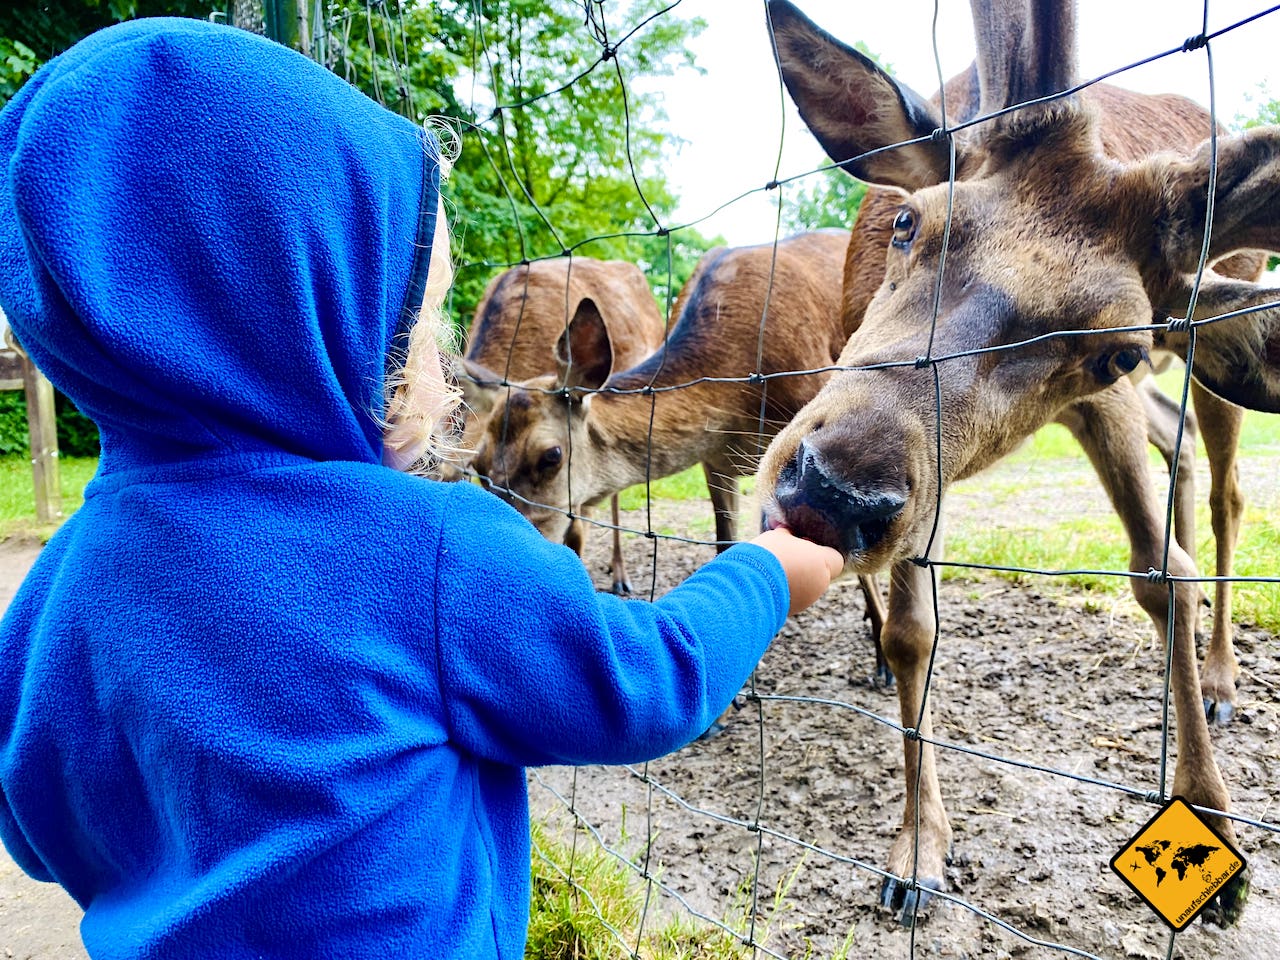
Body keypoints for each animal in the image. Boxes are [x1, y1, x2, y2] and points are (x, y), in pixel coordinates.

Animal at [752, 0, 1280, 931]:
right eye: (909, 222)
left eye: (1111, 348)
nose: (831, 487)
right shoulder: (930, 480)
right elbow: (912, 629)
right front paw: (918, 852)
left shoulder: (1108, 394)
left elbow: (1160, 575)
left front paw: (1213, 825)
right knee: (1179, 443)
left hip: (1205, 344)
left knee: (1224, 493)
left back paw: (1219, 676)